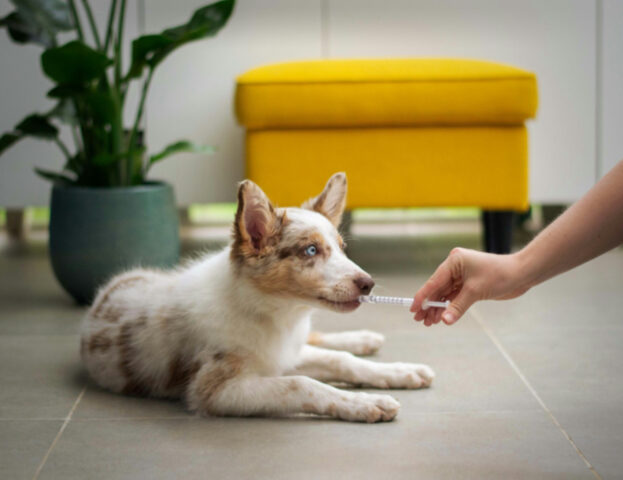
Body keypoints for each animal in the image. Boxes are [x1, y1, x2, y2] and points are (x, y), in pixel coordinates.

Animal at [81, 173, 434, 424]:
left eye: (342, 248)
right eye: (310, 250)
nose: (368, 284)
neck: (273, 313)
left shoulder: (284, 353)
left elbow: (340, 361)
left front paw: (399, 372)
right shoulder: (216, 390)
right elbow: (302, 384)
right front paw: (366, 403)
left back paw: (364, 339)